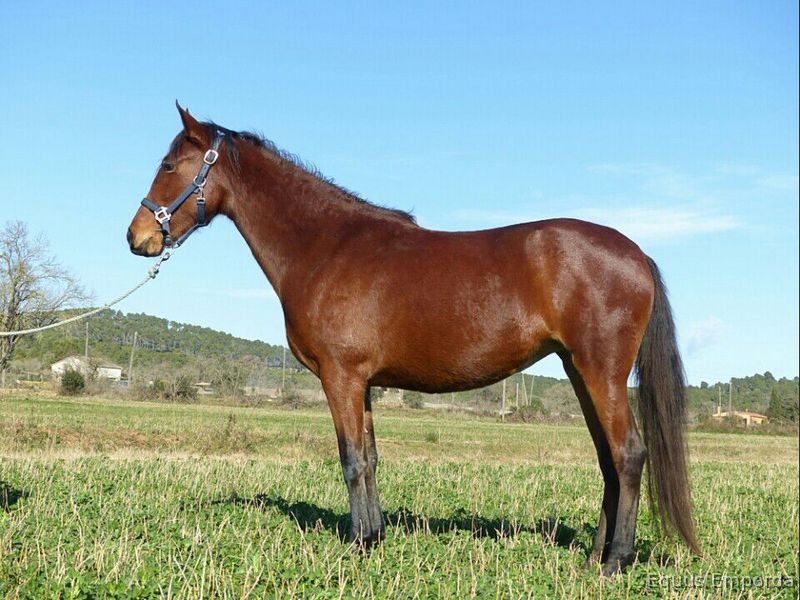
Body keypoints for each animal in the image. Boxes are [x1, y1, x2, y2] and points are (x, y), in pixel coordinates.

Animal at [127, 103, 699, 575]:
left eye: (169, 165)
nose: (137, 237)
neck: (326, 245)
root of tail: (636, 254)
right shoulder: (363, 383)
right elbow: (371, 458)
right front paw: (374, 538)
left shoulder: (340, 377)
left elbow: (351, 460)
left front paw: (357, 547)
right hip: (579, 371)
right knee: (608, 461)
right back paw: (595, 556)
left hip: (601, 372)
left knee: (628, 454)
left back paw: (615, 563)